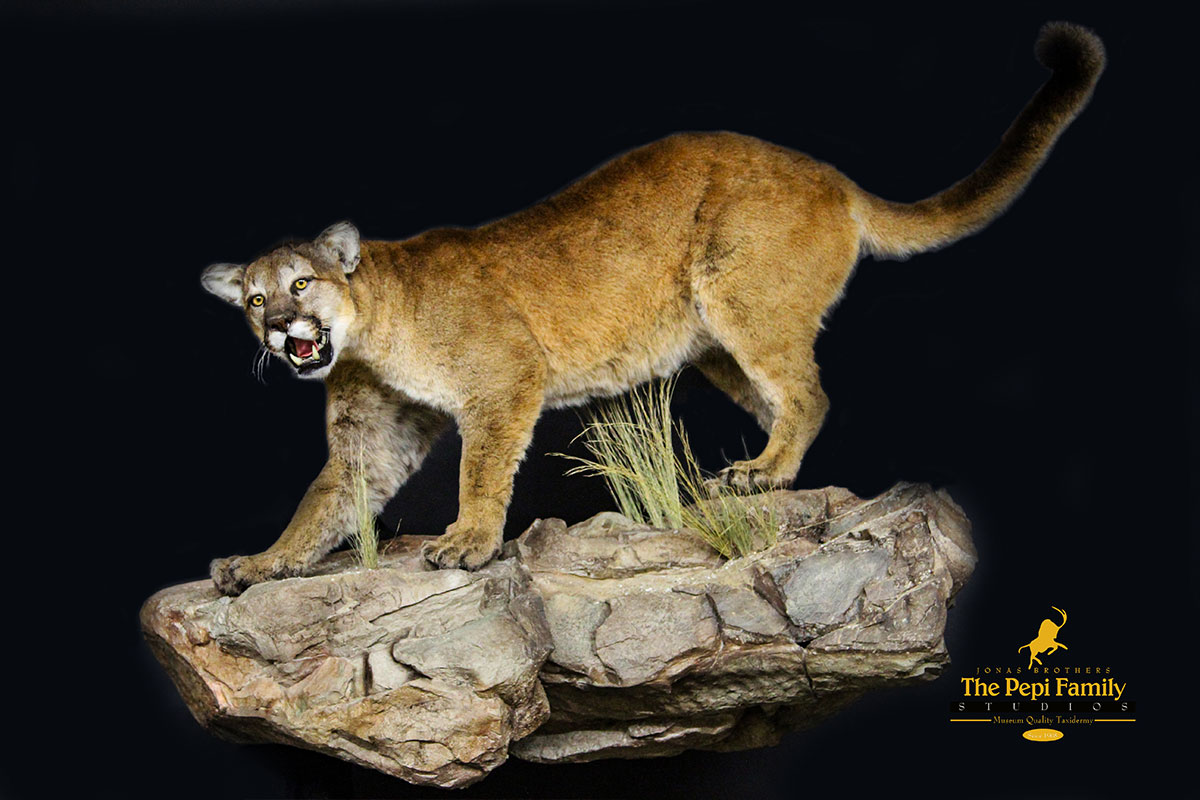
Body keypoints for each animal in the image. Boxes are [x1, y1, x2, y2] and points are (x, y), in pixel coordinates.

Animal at [201, 23, 1103, 594]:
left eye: (302, 284)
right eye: (253, 297)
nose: (280, 331)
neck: (374, 325)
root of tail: (832, 176)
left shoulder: (503, 383)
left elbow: (480, 469)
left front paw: (466, 543)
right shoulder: (374, 435)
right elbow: (323, 504)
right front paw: (259, 564)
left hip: (741, 297)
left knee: (809, 392)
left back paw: (762, 473)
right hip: (718, 348)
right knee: (794, 400)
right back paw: (768, 477)